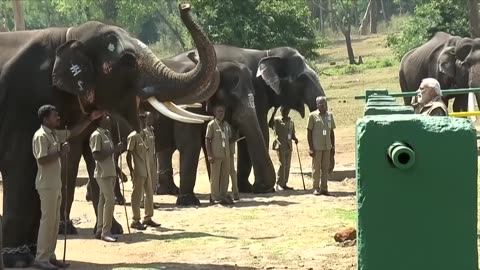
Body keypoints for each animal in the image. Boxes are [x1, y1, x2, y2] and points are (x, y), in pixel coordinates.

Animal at [0, 3, 218, 266]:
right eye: (128, 60)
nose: (184, 6)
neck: (68, 36)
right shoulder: (22, 101)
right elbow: (21, 167)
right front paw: (20, 261)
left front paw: (35, 257)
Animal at [154, 44, 326, 200]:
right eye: (302, 79)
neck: (268, 53)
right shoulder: (258, 93)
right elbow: (260, 130)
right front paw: (257, 189)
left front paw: (247, 188)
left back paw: (167, 191)